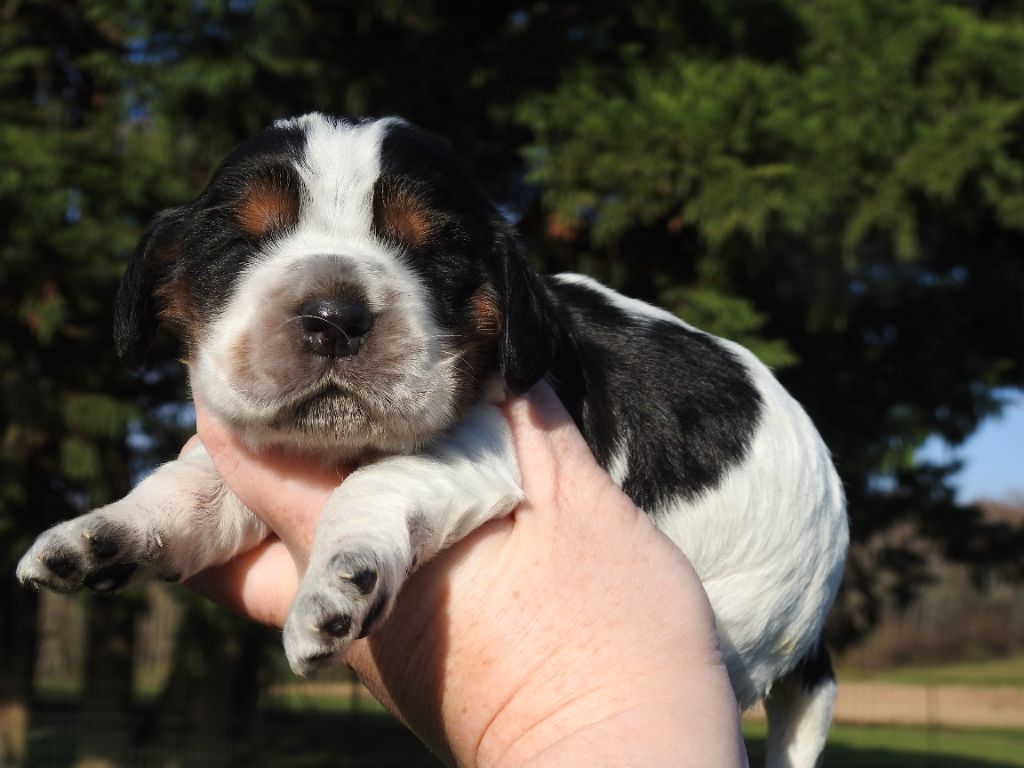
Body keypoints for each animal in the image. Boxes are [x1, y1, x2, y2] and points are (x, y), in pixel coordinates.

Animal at [18, 114, 847, 768]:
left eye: (437, 253)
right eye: (237, 242)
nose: (334, 316)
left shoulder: (489, 439)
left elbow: (377, 480)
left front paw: (340, 581)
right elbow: (188, 484)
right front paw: (103, 532)